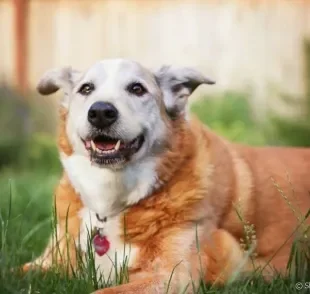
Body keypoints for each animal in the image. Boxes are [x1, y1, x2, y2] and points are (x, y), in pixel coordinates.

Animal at [22, 58, 310, 292]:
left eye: (137, 89)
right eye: (86, 89)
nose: (101, 112)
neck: (111, 203)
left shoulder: (172, 276)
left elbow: (101, 292)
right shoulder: (48, 261)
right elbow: (18, 272)